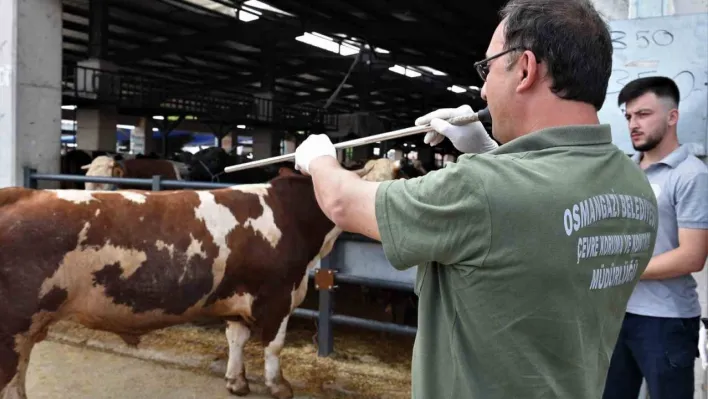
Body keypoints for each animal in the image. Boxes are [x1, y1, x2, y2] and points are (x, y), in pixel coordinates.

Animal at [1, 158, 404, 398]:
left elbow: (236, 340)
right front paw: (279, 386)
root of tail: (17, 193)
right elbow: (273, 346)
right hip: (13, 327)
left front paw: (236, 381)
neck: (293, 214)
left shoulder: (238, 296)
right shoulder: (277, 296)